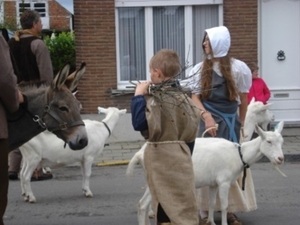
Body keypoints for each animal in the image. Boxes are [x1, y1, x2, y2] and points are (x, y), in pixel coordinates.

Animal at [125, 121, 284, 225]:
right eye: (268, 141)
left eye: (281, 141)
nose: (280, 158)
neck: (239, 154)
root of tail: (140, 154)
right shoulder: (224, 182)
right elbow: (224, 205)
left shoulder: (214, 183)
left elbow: (212, 203)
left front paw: (211, 222)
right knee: (143, 205)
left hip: (151, 181)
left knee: (143, 204)